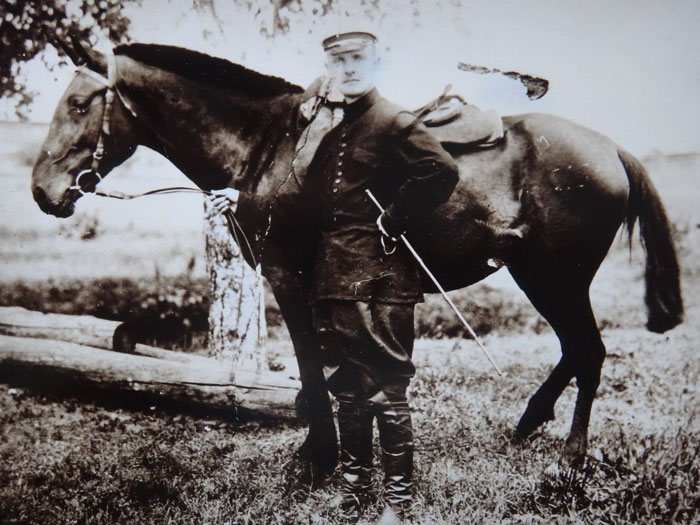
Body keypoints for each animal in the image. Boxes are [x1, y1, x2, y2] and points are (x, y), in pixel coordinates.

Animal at [30, 43, 680, 486]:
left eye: (81, 103)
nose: (42, 191)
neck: (268, 146)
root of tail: (611, 148)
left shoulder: (289, 280)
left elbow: (313, 369)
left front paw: (315, 458)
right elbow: (344, 372)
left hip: (556, 279)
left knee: (588, 353)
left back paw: (570, 457)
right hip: (543, 278)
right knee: (576, 352)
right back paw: (528, 425)